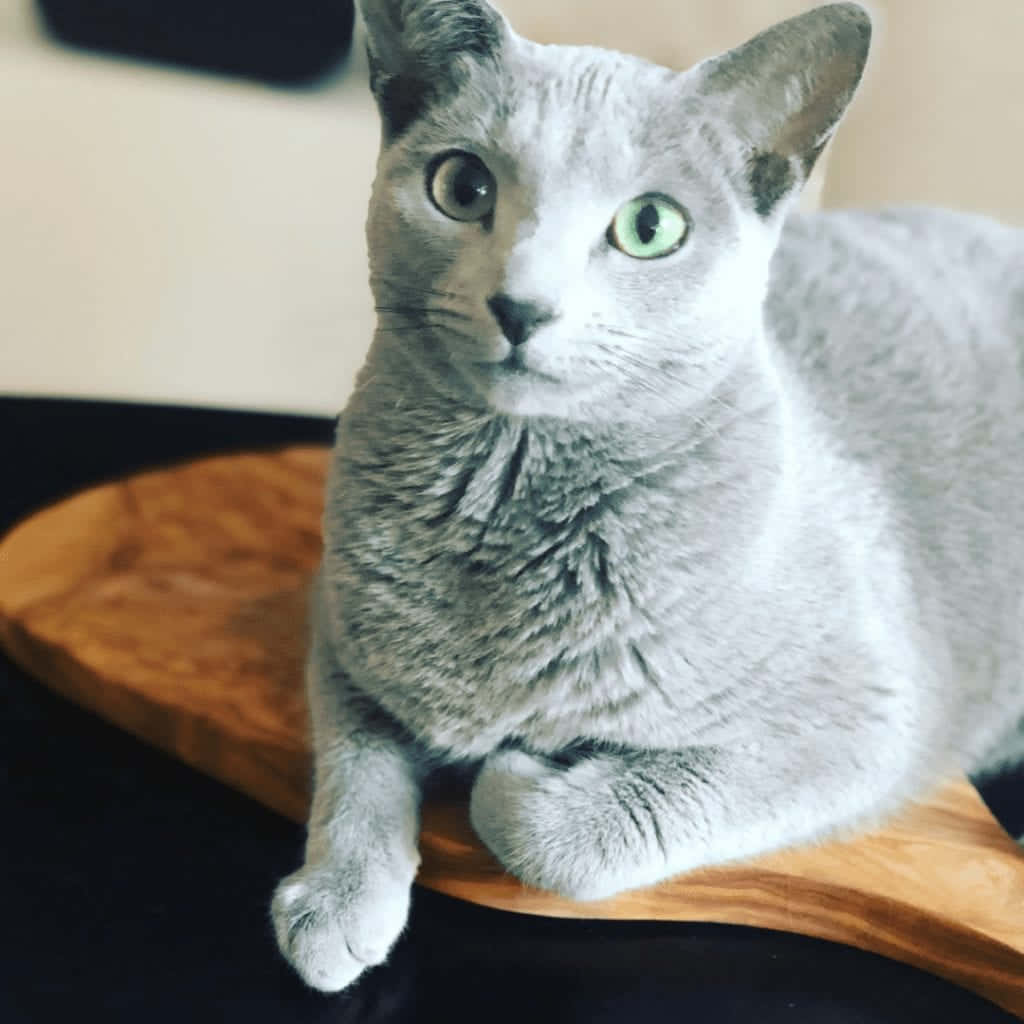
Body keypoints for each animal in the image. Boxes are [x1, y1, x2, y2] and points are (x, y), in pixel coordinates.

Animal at [270, 0, 1024, 991]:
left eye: (651, 226)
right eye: (462, 187)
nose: (522, 305)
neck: (509, 491)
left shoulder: (864, 717)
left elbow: (567, 835)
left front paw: (514, 774)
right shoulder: (343, 620)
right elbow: (357, 753)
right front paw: (334, 900)